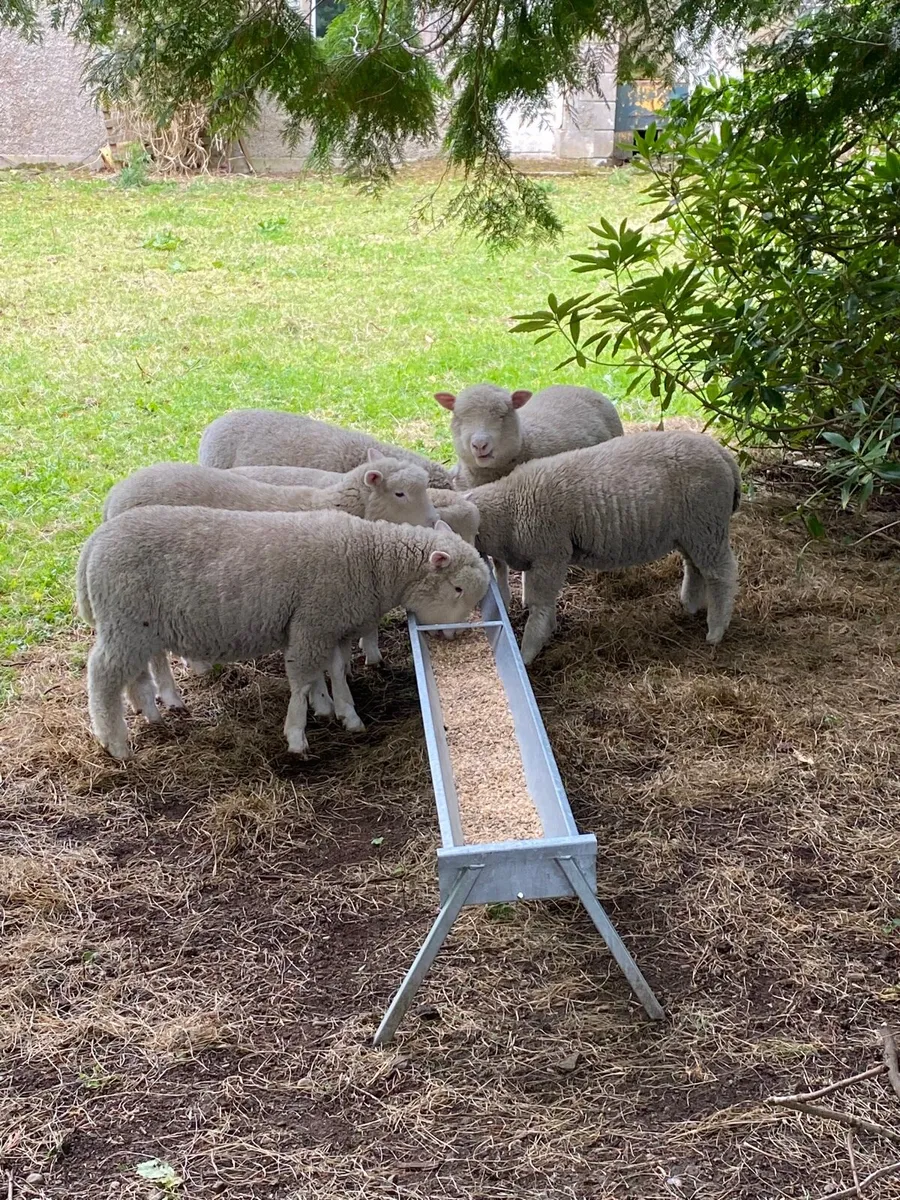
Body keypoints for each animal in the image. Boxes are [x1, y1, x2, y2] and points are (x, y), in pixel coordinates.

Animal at [76, 507, 490, 760]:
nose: (454, 636)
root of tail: (95, 541)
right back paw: (115, 741)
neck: (370, 558)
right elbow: (302, 679)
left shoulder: (328, 624)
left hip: (135, 625)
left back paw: (149, 713)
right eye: (457, 589)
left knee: (132, 674)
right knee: (102, 675)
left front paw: (343, 712)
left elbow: (335, 672)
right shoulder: (313, 621)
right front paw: (297, 734)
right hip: (125, 619)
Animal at [462, 431, 741, 664]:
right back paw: (690, 605)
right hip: (690, 532)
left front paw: (528, 651)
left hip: (706, 523)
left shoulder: (550, 554)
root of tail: (722, 453)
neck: (510, 508)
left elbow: (540, 606)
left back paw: (716, 630)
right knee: (695, 567)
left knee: (722, 575)